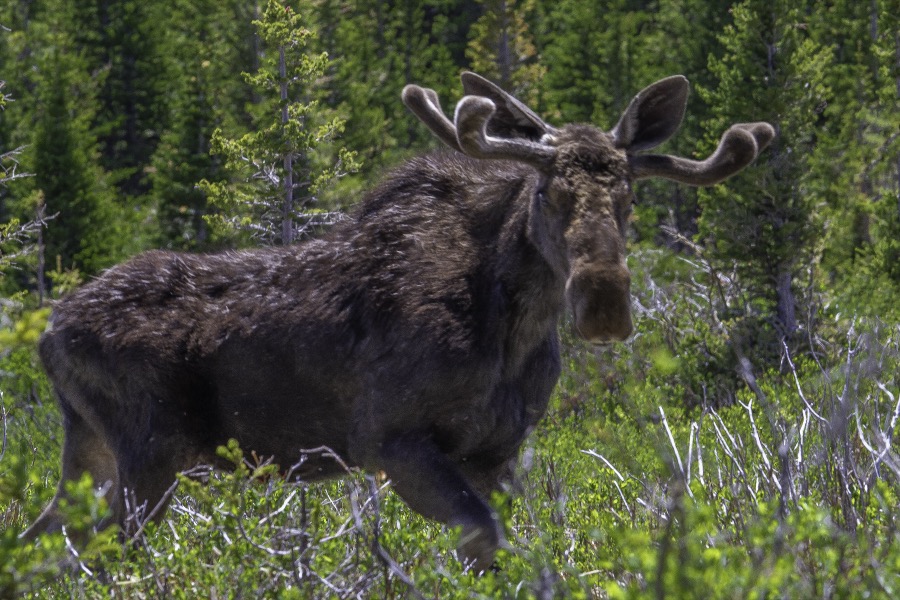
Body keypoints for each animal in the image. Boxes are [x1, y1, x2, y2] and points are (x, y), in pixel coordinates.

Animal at [23, 72, 774, 570]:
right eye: (548, 193)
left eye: (627, 199)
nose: (605, 299)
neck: (515, 331)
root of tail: (48, 335)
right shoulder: (390, 440)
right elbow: (484, 539)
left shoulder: (496, 451)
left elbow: (514, 544)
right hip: (150, 453)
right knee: (94, 556)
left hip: (91, 452)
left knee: (41, 541)